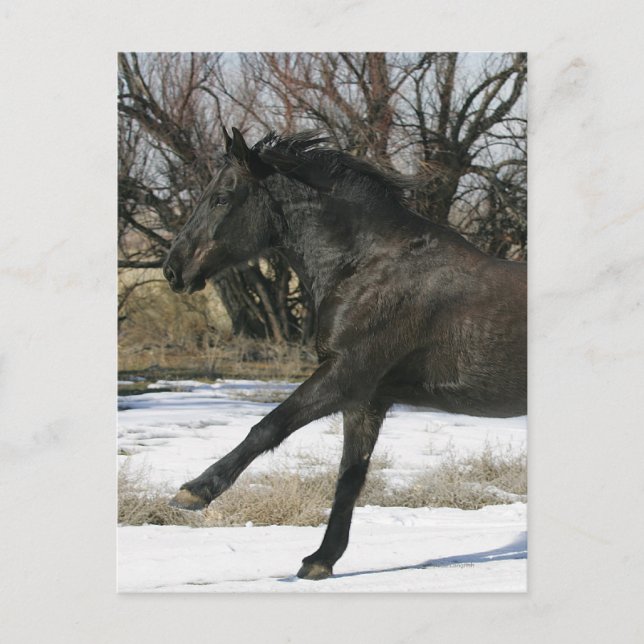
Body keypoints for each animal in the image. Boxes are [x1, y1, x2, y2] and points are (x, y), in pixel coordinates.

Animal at [162, 127, 527, 580]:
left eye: (221, 198)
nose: (173, 269)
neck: (366, 267)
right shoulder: (367, 401)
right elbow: (350, 476)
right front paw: (321, 560)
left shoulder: (345, 375)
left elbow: (268, 427)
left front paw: (194, 492)